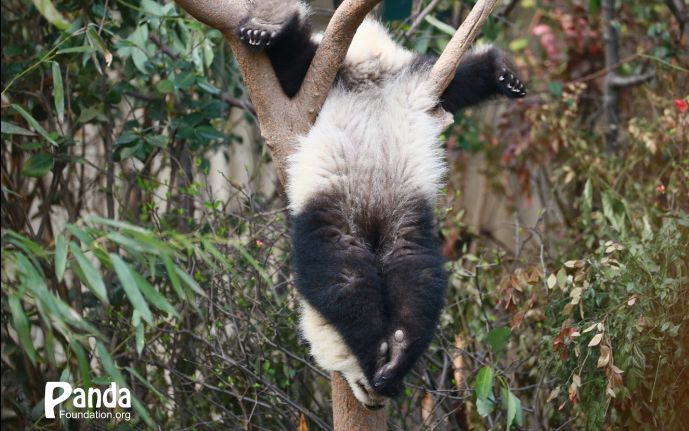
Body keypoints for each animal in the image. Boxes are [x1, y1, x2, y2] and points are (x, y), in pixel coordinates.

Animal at [236, 0, 528, 410]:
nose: (373, 400)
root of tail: (370, 65)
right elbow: (362, 280)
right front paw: (388, 362)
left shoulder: (318, 225)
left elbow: (340, 284)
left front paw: (376, 357)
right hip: (414, 105)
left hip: (346, 84)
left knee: (297, 63)